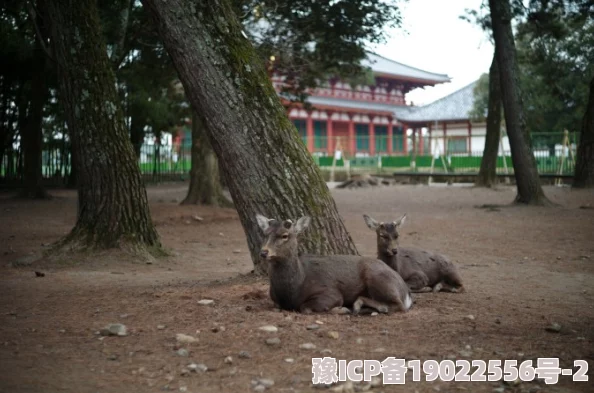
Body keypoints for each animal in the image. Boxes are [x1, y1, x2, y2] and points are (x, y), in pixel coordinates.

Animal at [254, 213, 412, 314]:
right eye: (264, 234)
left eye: (285, 235)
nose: (264, 252)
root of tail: (406, 291)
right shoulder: (275, 301)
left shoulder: (330, 292)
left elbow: (305, 308)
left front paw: (340, 309)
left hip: (378, 279)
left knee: (398, 305)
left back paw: (357, 306)